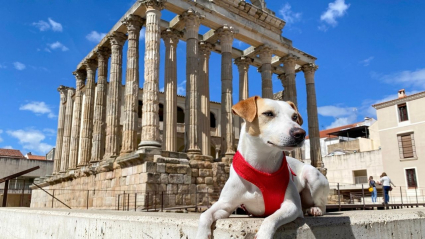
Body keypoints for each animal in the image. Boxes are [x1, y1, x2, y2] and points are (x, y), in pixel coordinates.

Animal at [195, 96, 328, 239]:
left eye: (295, 117)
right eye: (268, 114)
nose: (301, 133)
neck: (261, 165)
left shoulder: (291, 205)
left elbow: (271, 218)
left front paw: (264, 234)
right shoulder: (225, 205)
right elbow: (204, 215)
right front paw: (201, 234)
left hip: (313, 177)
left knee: (322, 204)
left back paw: (315, 209)